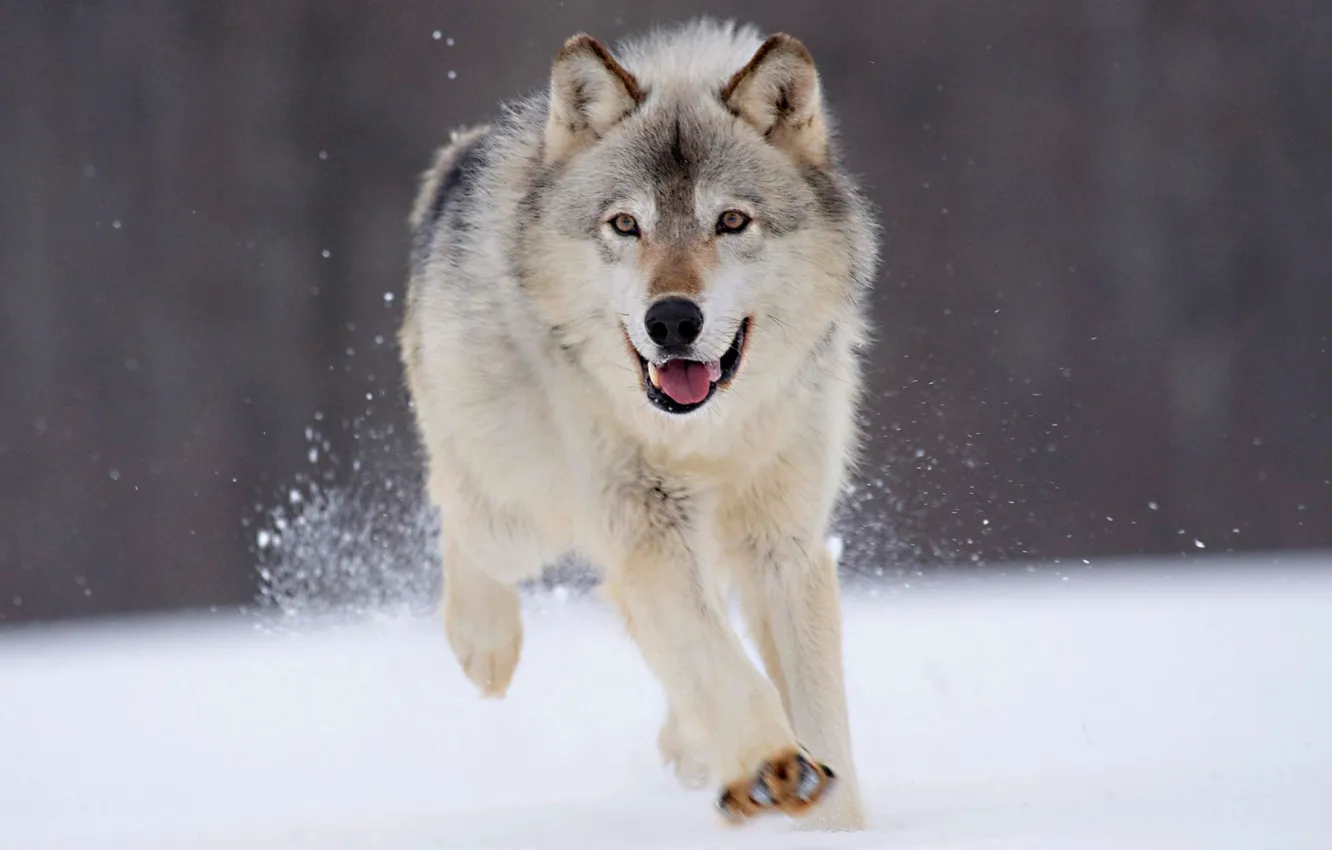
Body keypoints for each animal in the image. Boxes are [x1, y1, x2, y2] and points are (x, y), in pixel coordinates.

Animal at [398, 18, 878, 830]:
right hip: (521, 513)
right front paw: (771, 765)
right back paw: (485, 645)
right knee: (460, 515)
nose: (672, 320)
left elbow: (817, 712)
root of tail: (459, 158)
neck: (706, 436)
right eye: (626, 224)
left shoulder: (784, 546)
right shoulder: (647, 529)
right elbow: (724, 665)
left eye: (731, 221)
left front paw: (829, 819)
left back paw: (691, 749)